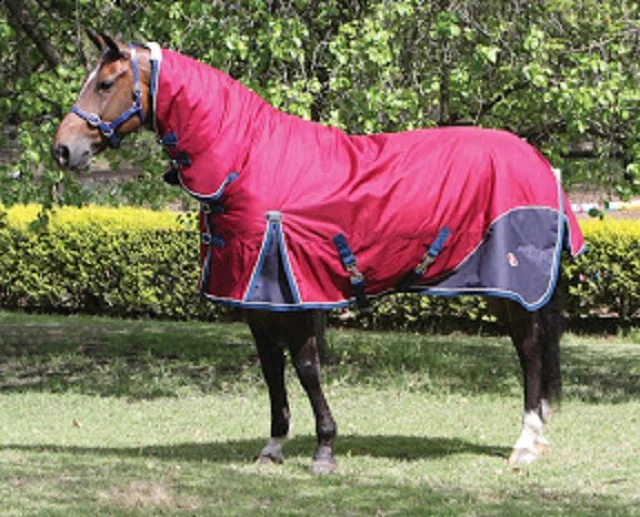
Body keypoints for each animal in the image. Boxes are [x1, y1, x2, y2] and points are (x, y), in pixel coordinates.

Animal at [52, 31, 585, 474]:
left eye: (105, 83)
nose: (63, 150)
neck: (247, 160)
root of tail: (541, 164)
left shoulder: (298, 292)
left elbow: (307, 369)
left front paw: (324, 449)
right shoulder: (256, 298)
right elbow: (271, 370)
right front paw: (272, 447)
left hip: (514, 287)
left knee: (530, 351)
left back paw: (525, 443)